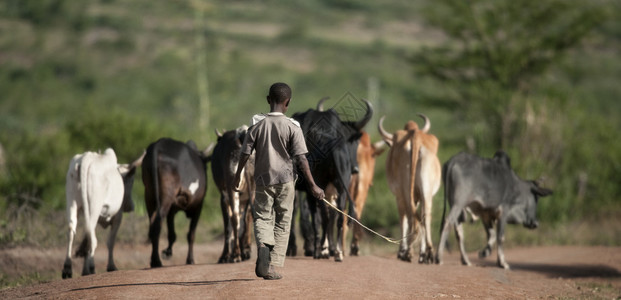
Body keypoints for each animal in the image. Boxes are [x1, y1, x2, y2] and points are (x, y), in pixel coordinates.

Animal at [62, 149, 144, 278]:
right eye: (131, 181)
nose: (131, 206)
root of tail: (86, 158)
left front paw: (84, 271)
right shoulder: (118, 217)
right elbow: (110, 242)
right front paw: (111, 266)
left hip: (72, 203)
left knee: (72, 230)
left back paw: (67, 268)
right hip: (94, 206)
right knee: (92, 236)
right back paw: (91, 267)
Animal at [142, 138, 212, 268]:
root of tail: (157, 146)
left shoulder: (173, 208)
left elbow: (172, 233)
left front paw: (168, 251)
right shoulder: (198, 206)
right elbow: (191, 234)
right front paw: (190, 259)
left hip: (149, 195)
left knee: (152, 223)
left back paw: (154, 260)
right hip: (166, 196)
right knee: (158, 223)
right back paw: (156, 261)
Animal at [211, 126, 254, 262]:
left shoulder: (223, 197)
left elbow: (227, 224)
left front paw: (225, 256)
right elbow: (245, 218)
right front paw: (245, 249)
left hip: (232, 187)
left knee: (234, 217)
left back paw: (236, 254)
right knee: (249, 215)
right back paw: (244, 251)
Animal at [288, 99, 370, 262]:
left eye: (356, 143)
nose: (355, 169)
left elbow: (318, 218)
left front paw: (322, 248)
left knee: (321, 216)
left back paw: (322, 250)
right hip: (339, 188)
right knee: (334, 215)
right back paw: (334, 252)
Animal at [378, 114, 440, 262]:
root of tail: (414, 135)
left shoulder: (398, 195)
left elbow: (403, 219)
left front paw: (402, 250)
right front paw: (422, 253)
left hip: (406, 192)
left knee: (411, 215)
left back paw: (408, 252)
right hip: (425, 191)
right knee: (424, 215)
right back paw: (428, 252)